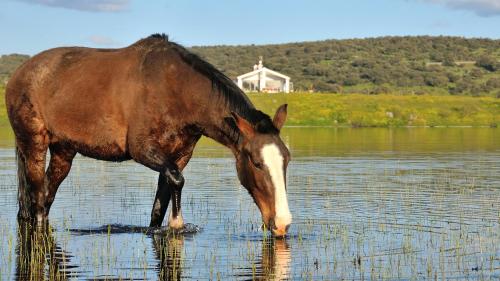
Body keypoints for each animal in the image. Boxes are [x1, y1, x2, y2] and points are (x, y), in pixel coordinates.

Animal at [5, 34, 292, 236]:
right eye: (256, 162)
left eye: (286, 160)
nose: (282, 223)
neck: (175, 90)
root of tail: (20, 73)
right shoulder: (142, 150)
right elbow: (177, 181)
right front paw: (177, 225)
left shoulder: (178, 157)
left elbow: (161, 203)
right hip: (34, 145)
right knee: (38, 201)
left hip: (64, 151)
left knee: (46, 197)